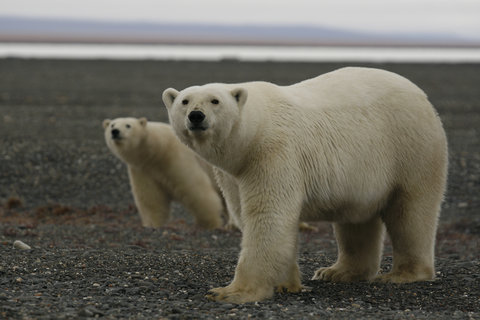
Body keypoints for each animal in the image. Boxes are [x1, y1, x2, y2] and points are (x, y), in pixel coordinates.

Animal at [164, 67, 450, 302]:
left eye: (215, 100)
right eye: (184, 101)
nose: (196, 116)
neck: (255, 131)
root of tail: (421, 95)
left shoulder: (274, 153)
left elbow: (268, 217)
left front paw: (230, 292)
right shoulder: (234, 173)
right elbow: (249, 215)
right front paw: (287, 284)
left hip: (410, 148)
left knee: (411, 212)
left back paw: (403, 274)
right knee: (356, 221)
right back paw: (337, 271)